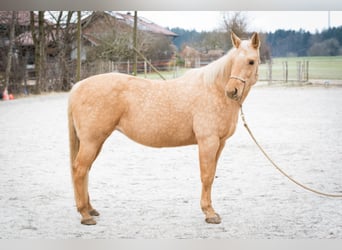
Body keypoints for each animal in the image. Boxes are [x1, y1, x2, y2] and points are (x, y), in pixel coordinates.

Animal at [68, 31, 260, 225]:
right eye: (233, 61)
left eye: (251, 61)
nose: (232, 91)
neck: (213, 89)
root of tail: (78, 86)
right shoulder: (208, 142)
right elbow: (206, 176)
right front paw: (210, 213)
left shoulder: (220, 143)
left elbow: (212, 175)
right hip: (91, 141)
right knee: (79, 170)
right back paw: (85, 214)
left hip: (95, 142)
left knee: (85, 170)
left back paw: (90, 209)